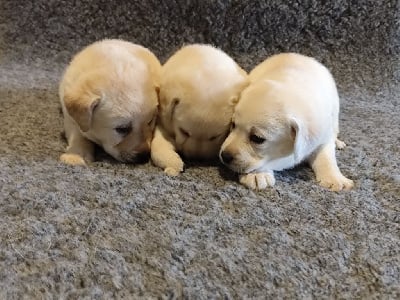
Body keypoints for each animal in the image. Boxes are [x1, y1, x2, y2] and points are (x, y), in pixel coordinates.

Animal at [152, 44, 248, 176]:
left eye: (214, 137)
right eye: (184, 132)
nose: (196, 158)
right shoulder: (164, 122)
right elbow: (157, 146)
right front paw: (173, 163)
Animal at [220, 52, 354, 191]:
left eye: (257, 138)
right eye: (233, 125)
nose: (224, 156)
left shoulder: (322, 136)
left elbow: (326, 157)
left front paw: (335, 179)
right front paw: (257, 175)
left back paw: (338, 142)